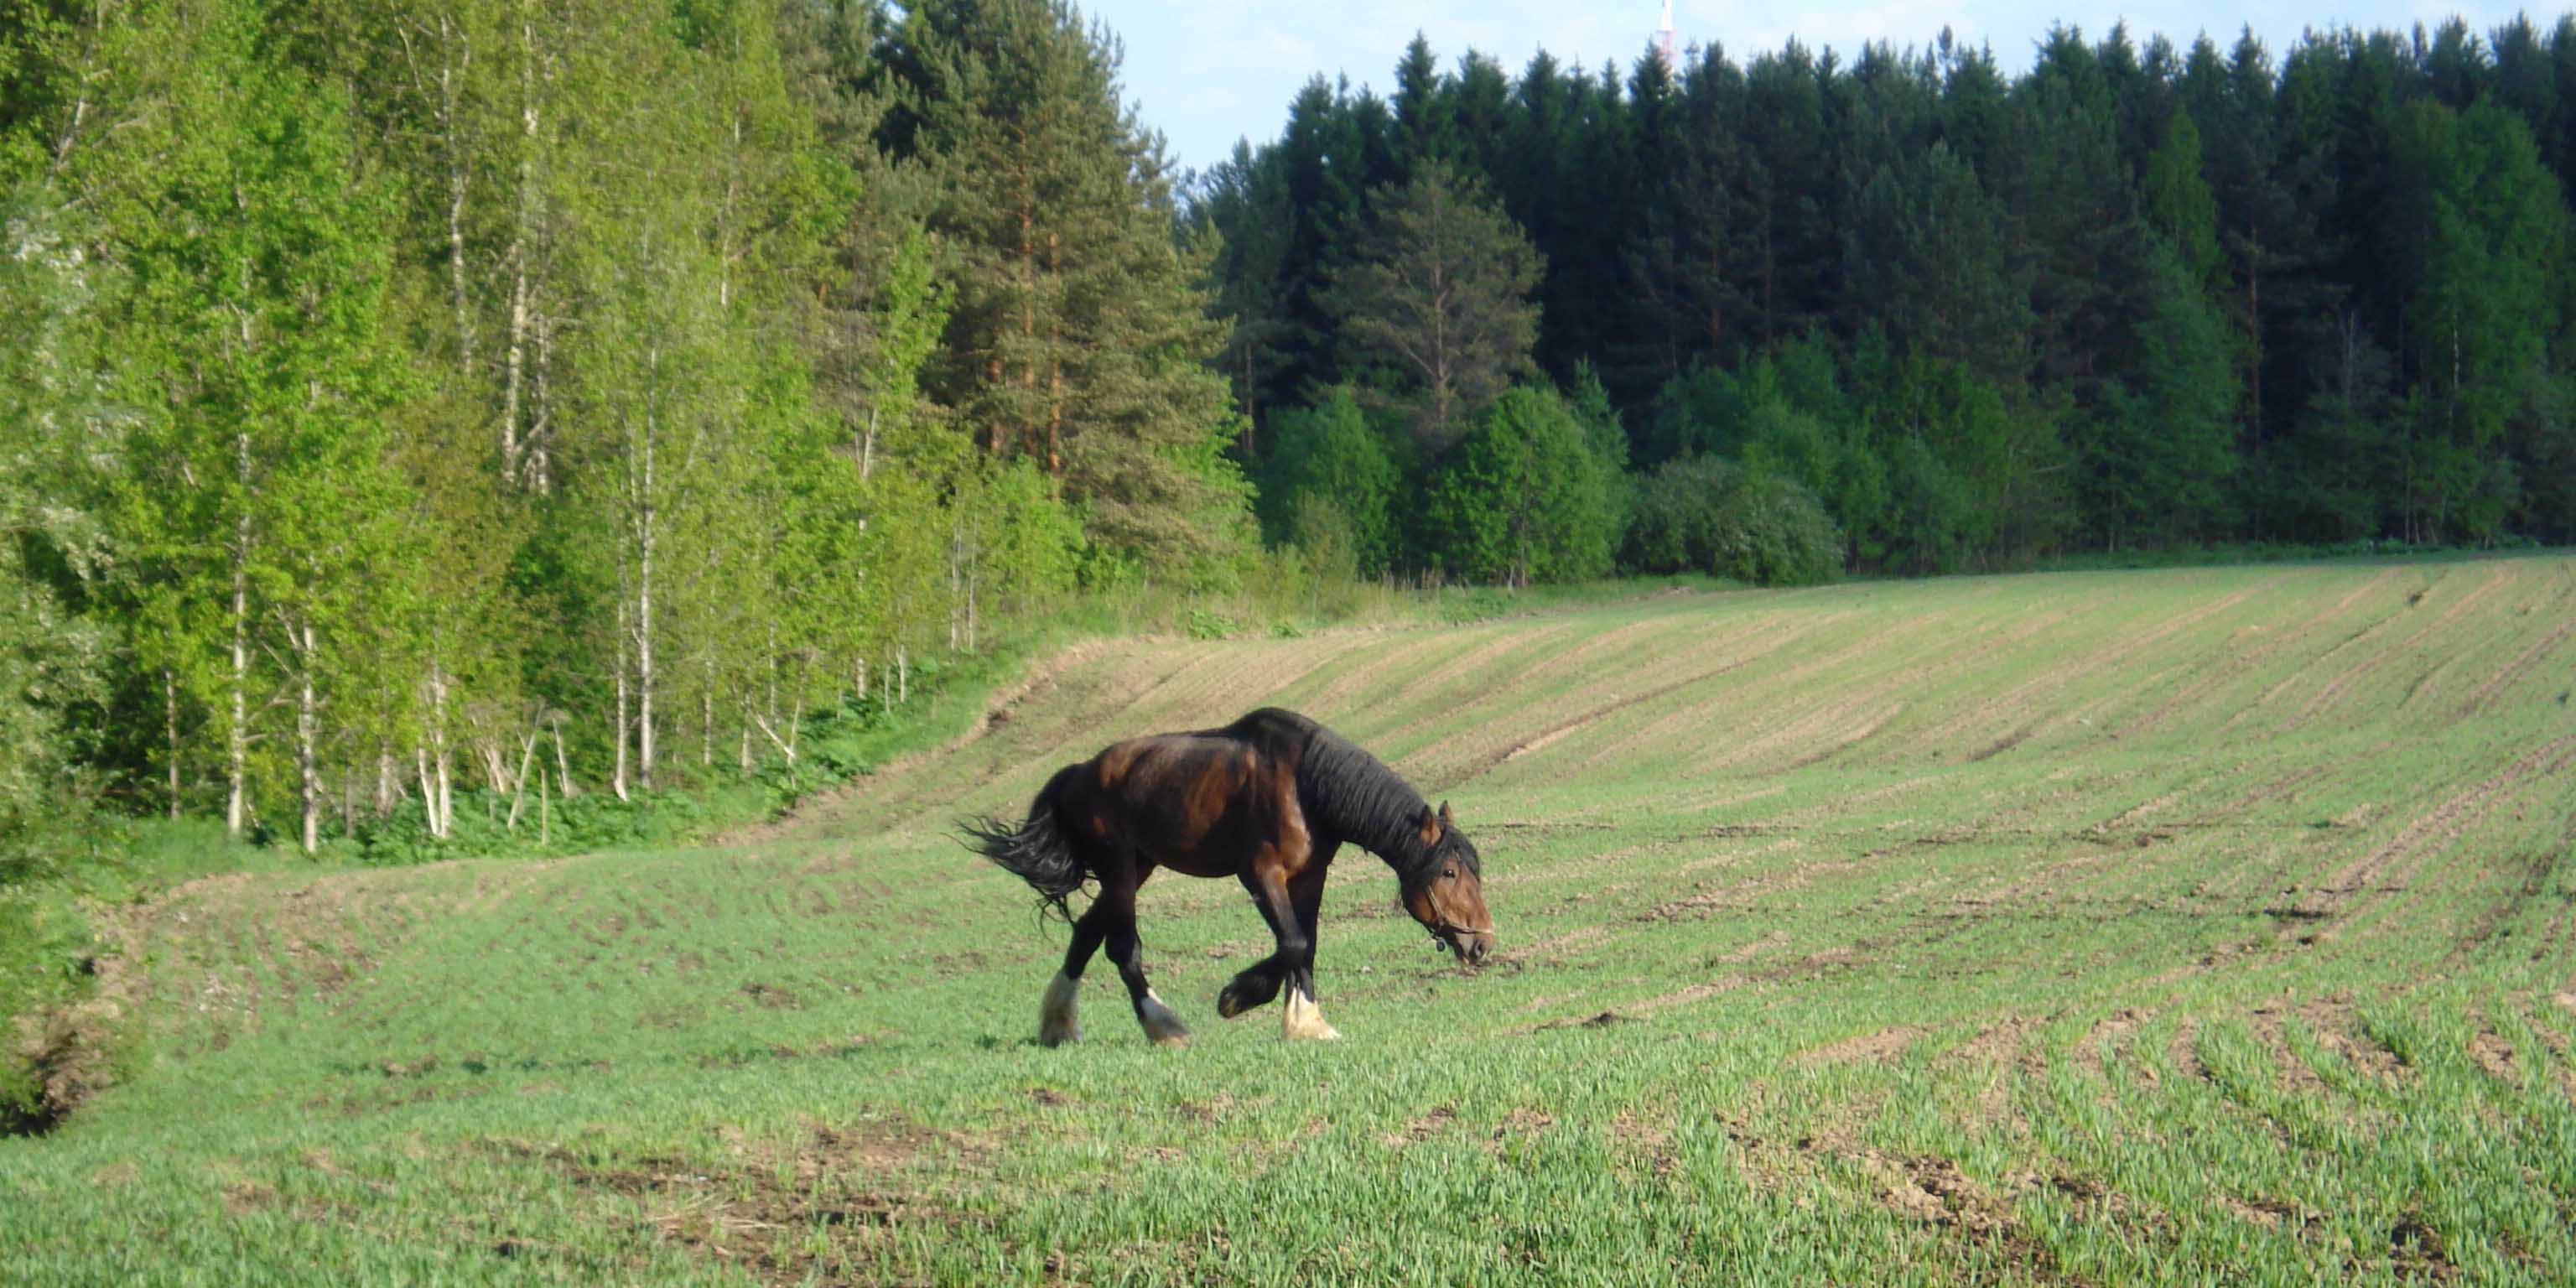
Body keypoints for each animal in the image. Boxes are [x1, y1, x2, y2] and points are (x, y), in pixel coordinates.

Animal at [963, 710, 1493, 1041]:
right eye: (1449, 871)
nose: (1483, 944)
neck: (1304, 784)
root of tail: (1078, 772)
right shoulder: (1260, 873)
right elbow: (1293, 943)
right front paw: (1242, 997)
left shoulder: (1309, 877)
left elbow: (1305, 945)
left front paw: (1305, 1020)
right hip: (1119, 868)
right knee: (1122, 948)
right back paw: (1164, 1027)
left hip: (1137, 867)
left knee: (1088, 934)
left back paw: (1058, 1025)